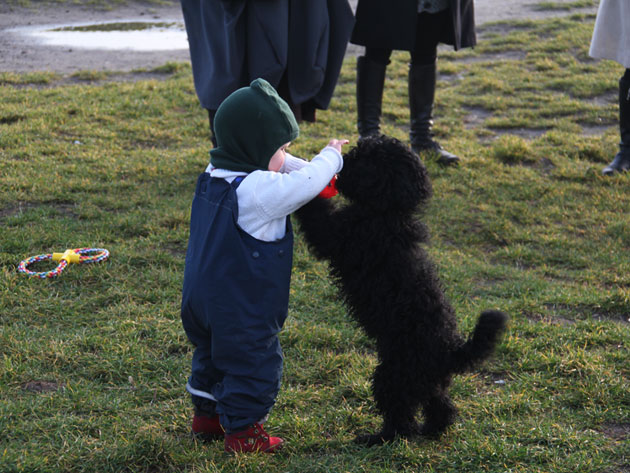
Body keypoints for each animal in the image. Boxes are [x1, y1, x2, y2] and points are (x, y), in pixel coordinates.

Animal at [296, 135, 508, 444]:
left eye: (364, 160)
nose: (342, 163)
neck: (387, 212)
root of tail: (449, 351)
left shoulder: (340, 236)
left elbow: (318, 220)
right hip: (426, 381)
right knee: (441, 405)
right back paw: (433, 430)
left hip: (393, 374)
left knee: (401, 419)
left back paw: (378, 438)